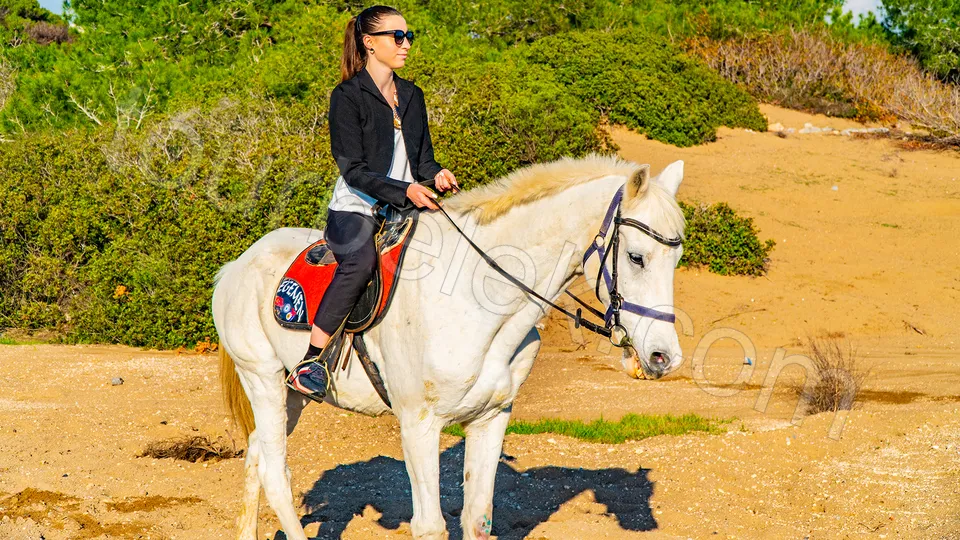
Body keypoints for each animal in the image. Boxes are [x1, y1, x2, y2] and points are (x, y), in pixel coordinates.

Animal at [212, 153, 687, 540]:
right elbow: (431, 526)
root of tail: (236, 265)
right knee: (276, 473)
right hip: (262, 379)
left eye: (677, 259)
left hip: (290, 394)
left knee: (257, 454)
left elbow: (477, 519)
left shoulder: (491, 419)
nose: (665, 357)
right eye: (637, 258)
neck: (480, 300)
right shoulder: (418, 426)